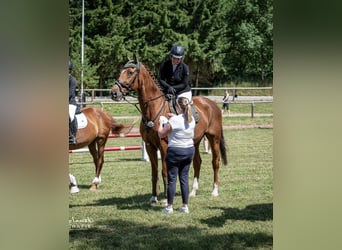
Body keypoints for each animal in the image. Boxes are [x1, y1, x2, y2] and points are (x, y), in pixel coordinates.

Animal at [111, 59, 227, 203]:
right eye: (121, 71)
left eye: (130, 73)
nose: (114, 93)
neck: (153, 111)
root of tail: (212, 104)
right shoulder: (150, 146)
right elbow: (154, 172)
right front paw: (153, 197)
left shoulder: (164, 146)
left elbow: (165, 171)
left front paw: (166, 199)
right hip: (195, 141)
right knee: (197, 163)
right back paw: (193, 192)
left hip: (213, 138)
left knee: (215, 162)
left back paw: (214, 191)